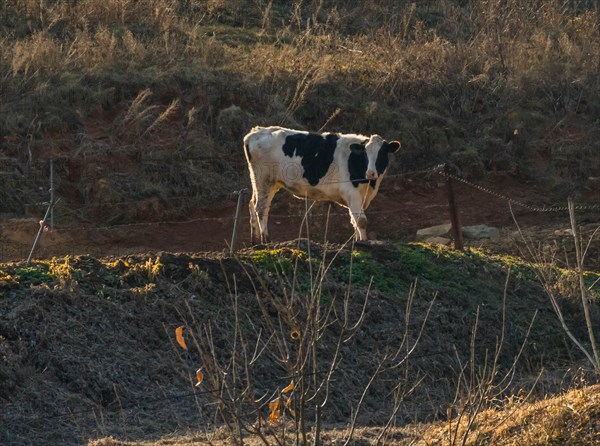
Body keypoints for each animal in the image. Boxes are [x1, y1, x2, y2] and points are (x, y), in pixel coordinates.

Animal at [241, 125, 400, 242]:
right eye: (365, 154)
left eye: (382, 153)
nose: (371, 173)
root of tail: (256, 131)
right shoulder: (352, 193)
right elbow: (361, 221)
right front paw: (363, 242)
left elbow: (354, 220)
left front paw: (357, 241)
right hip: (264, 180)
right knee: (260, 208)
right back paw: (266, 240)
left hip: (268, 182)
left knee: (253, 204)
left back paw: (256, 241)